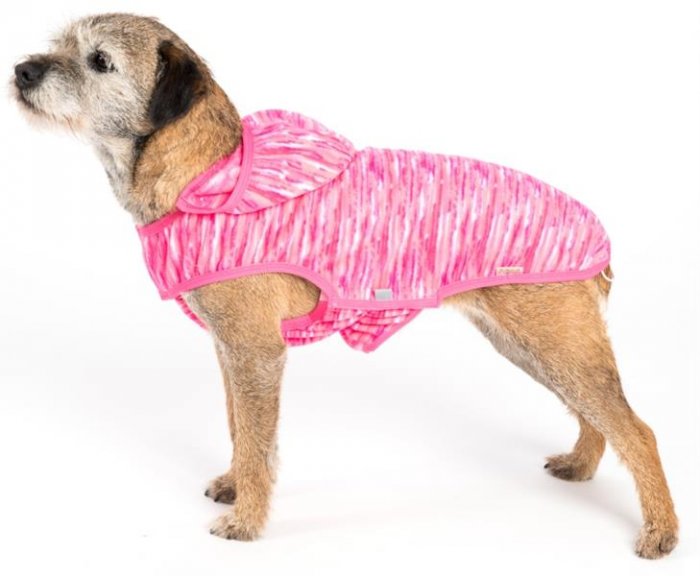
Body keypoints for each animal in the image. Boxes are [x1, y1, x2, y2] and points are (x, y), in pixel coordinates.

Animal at [12, 13, 678, 558]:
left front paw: (247, 522)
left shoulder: (256, 351)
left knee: (636, 428)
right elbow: (238, 427)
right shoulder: (230, 350)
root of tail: (598, 231)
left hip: (554, 342)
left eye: (99, 61)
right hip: (531, 346)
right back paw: (582, 464)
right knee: (598, 415)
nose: (22, 70)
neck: (207, 174)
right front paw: (233, 485)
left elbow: (259, 441)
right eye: (59, 44)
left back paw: (661, 530)